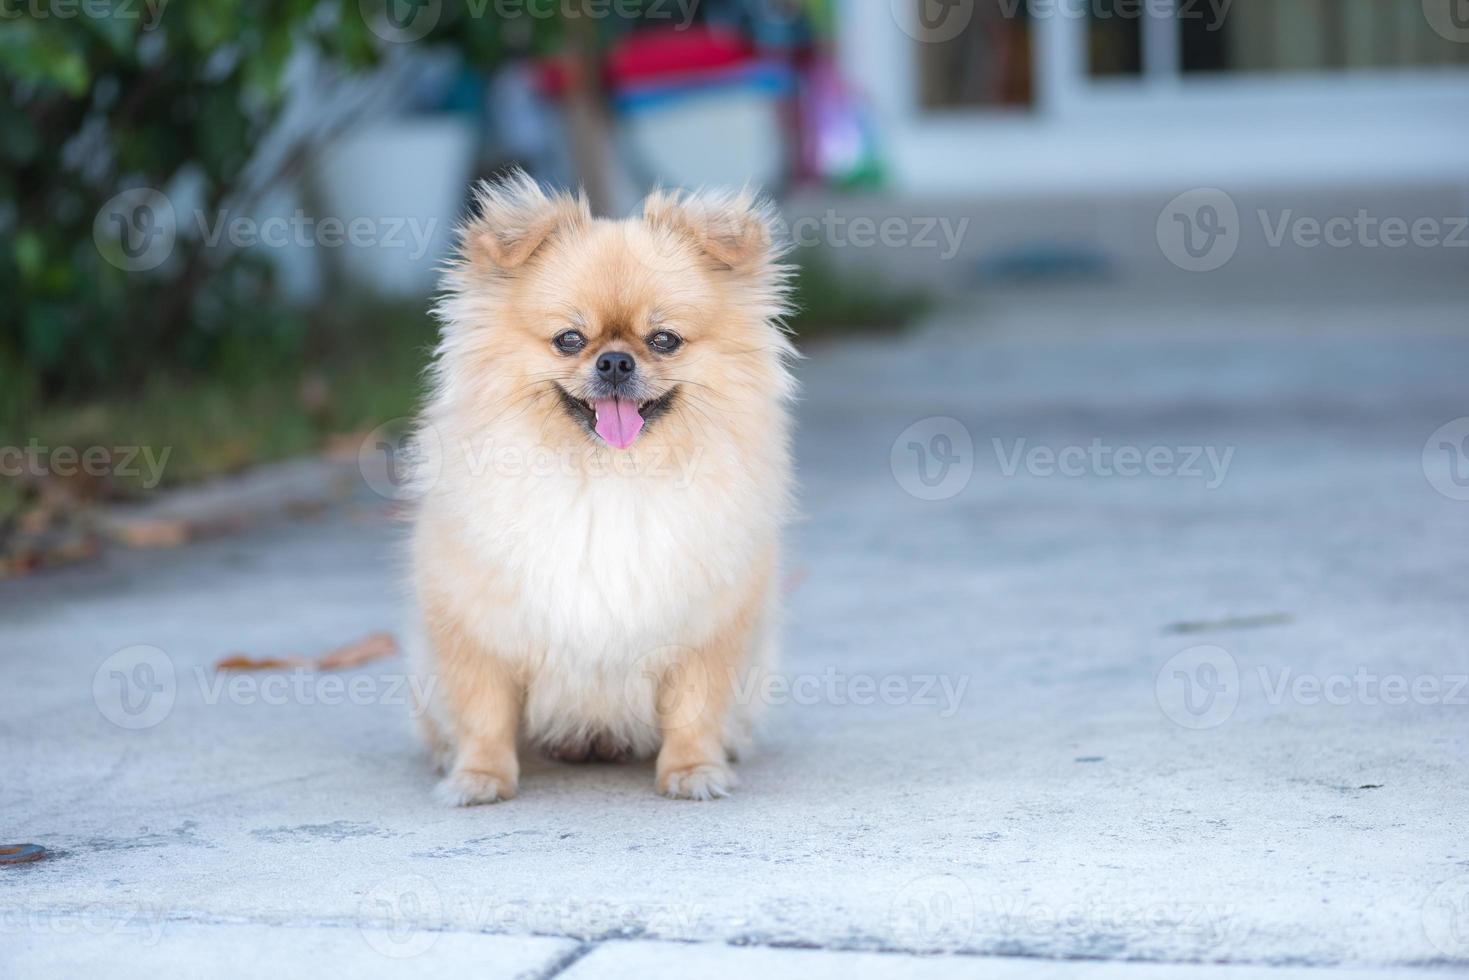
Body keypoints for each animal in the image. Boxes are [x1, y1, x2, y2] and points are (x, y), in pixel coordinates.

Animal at [408, 170, 799, 805]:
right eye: (570, 339)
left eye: (663, 340)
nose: (615, 361)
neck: (609, 476)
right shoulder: (477, 626)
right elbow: (483, 712)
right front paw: (479, 777)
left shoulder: (706, 631)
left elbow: (695, 708)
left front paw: (693, 770)